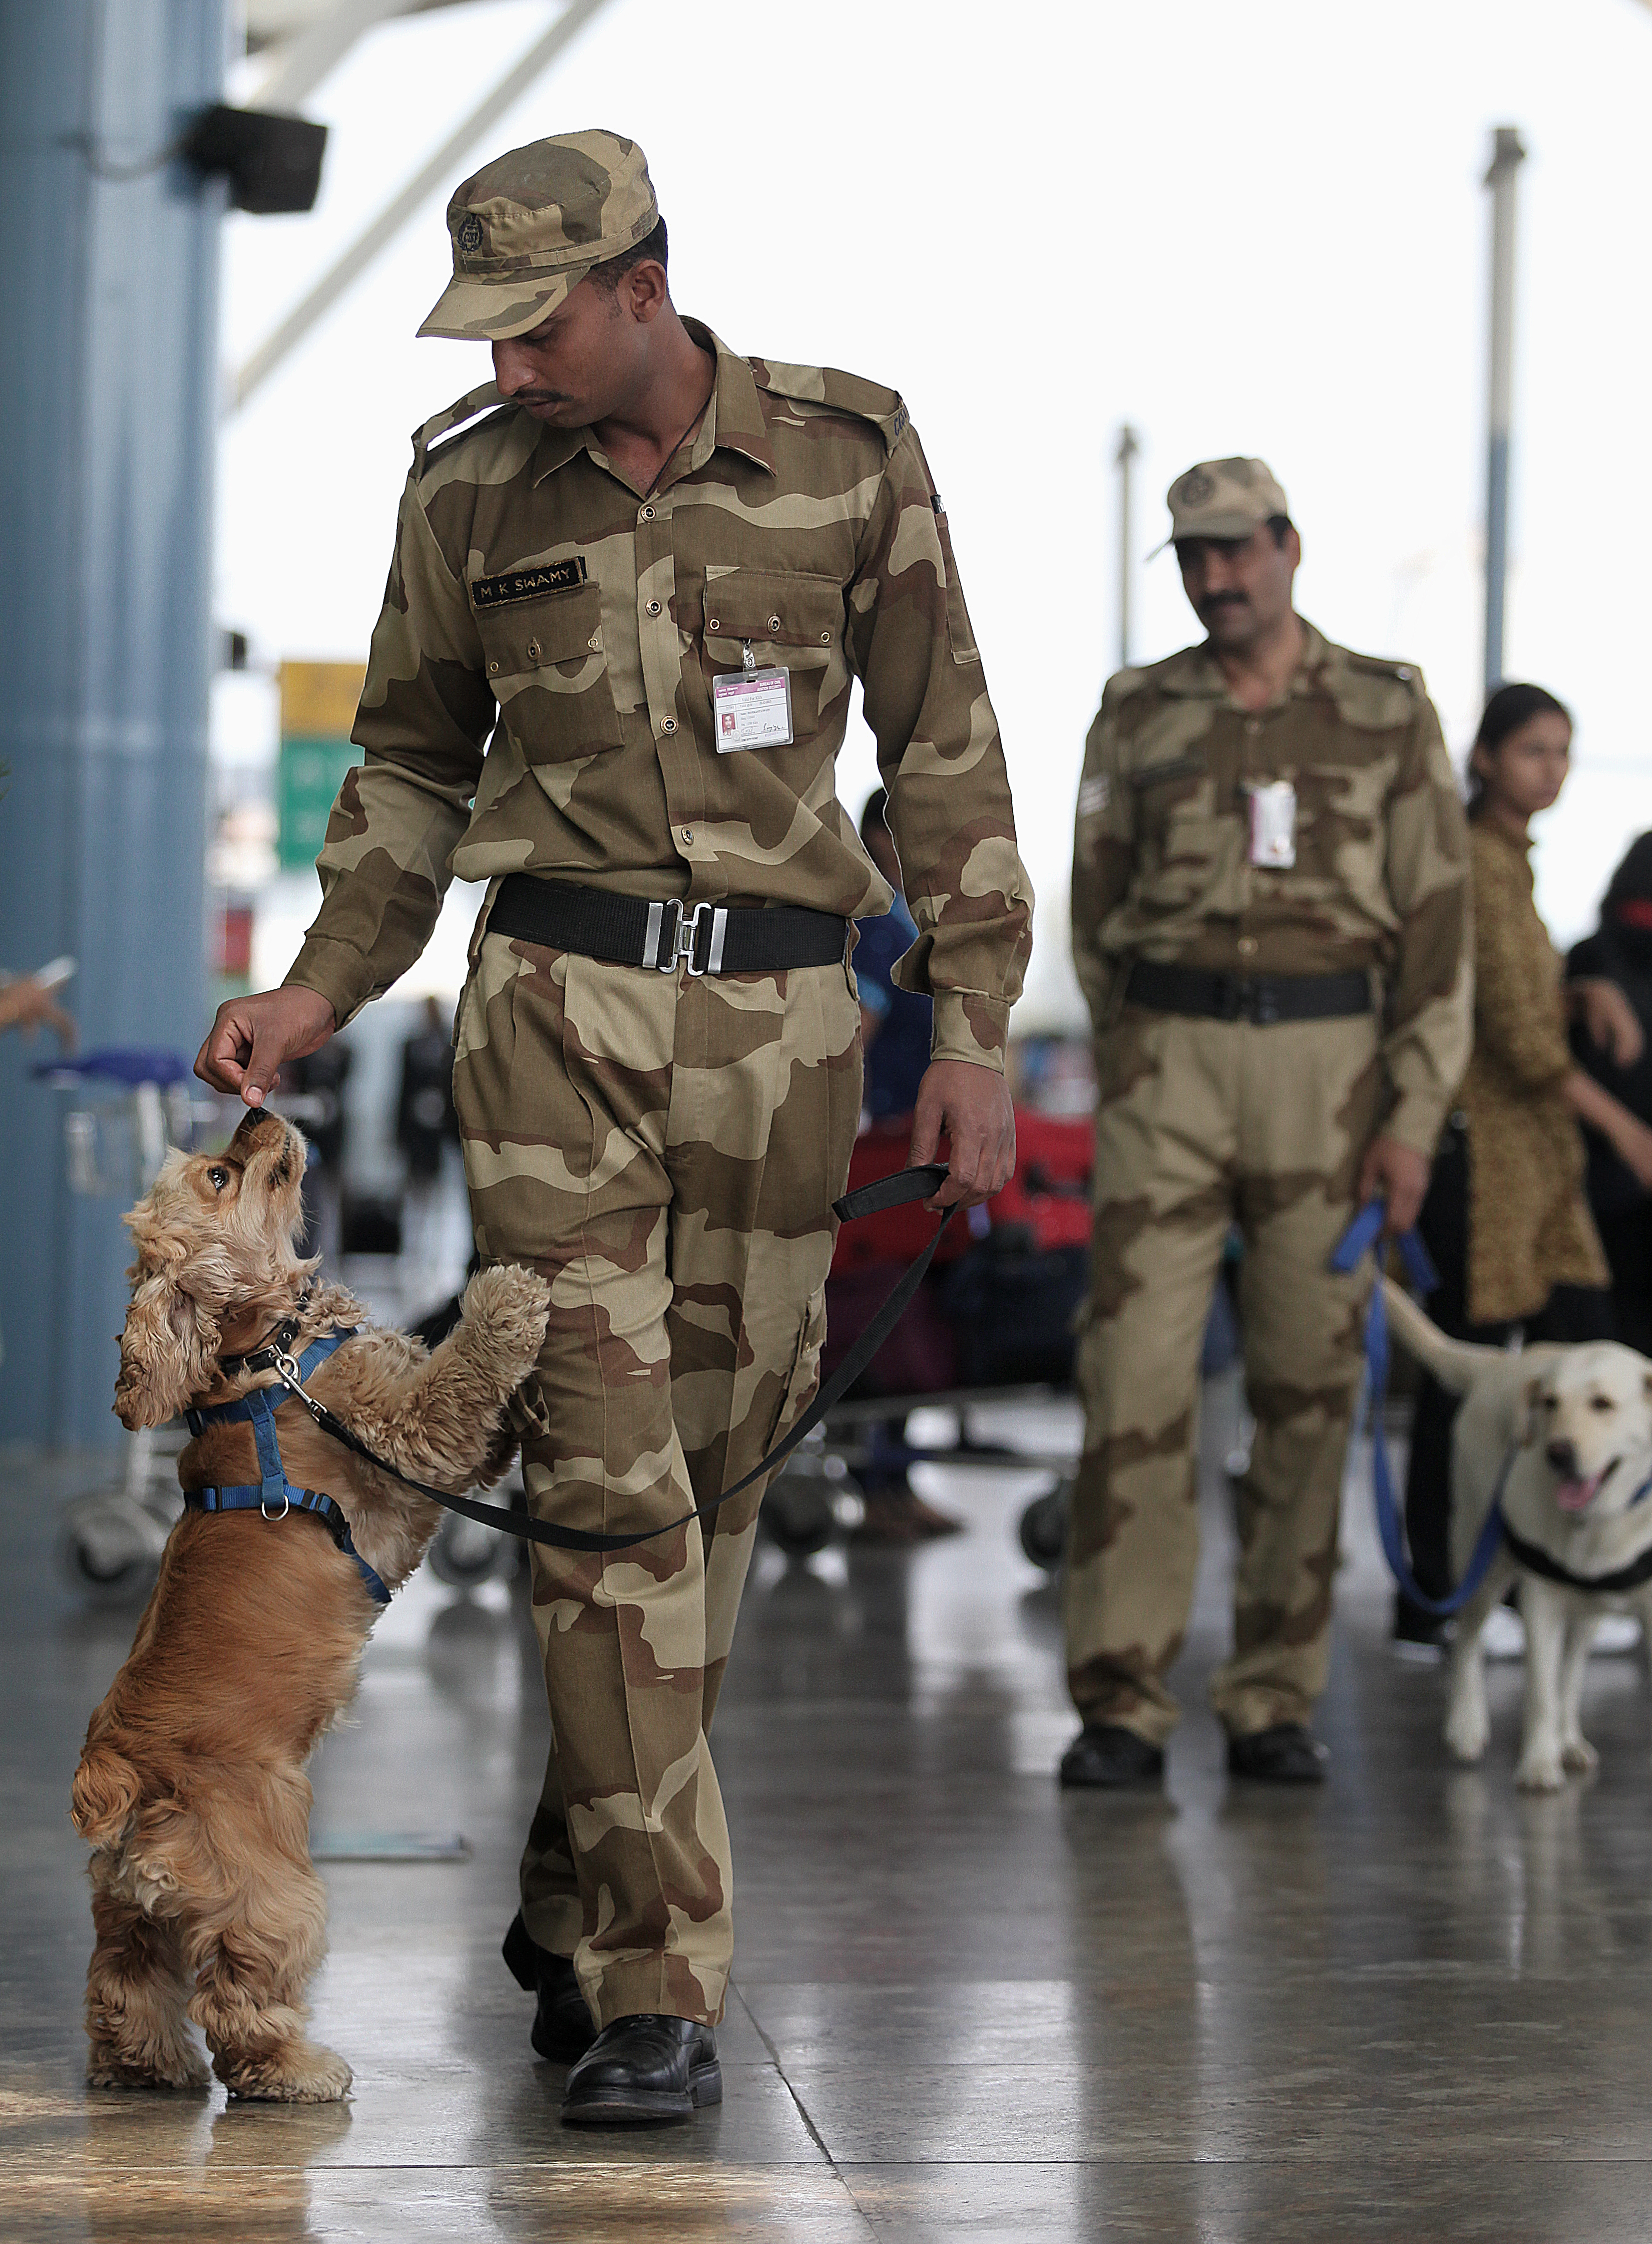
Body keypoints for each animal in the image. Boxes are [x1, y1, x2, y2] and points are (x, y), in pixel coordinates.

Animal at [72, 1108, 548, 2100]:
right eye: (220, 1175)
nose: (257, 1109)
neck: (266, 1354)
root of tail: (118, 1770)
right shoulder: (415, 1440)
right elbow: (460, 1379)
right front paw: (504, 1298)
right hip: (270, 1884)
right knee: (240, 1992)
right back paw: (296, 2069)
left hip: (125, 1903)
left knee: (122, 1982)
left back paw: (147, 2067)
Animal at [1382, 1292, 1652, 1795]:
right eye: (1550, 1403)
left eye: (1603, 1404)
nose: (1558, 1452)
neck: (1599, 1522)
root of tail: (1497, 1363)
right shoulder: (1540, 1599)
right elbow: (1541, 1692)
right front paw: (1538, 1764)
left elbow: (1563, 1683)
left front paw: (1557, 1746)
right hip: (1481, 1561)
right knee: (1468, 1641)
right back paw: (1466, 1725)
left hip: (1587, 1606)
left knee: (1573, 1671)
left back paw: (1569, 1739)